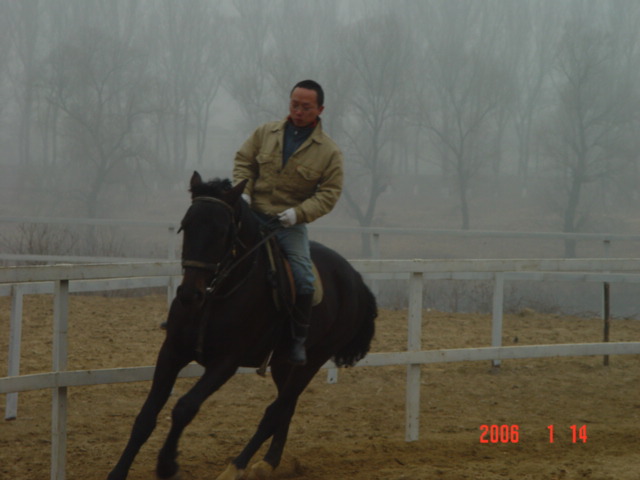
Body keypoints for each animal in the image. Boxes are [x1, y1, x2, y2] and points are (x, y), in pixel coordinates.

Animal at [105, 173, 376, 480]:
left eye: (223, 232)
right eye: (186, 225)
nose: (189, 294)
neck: (216, 294)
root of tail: (355, 279)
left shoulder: (225, 362)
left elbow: (184, 407)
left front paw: (167, 464)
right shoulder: (172, 351)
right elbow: (146, 416)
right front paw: (118, 472)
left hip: (312, 361)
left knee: (275, 411)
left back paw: (236, 467)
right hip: (283, 365)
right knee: (286, 408)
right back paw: (268, 462)